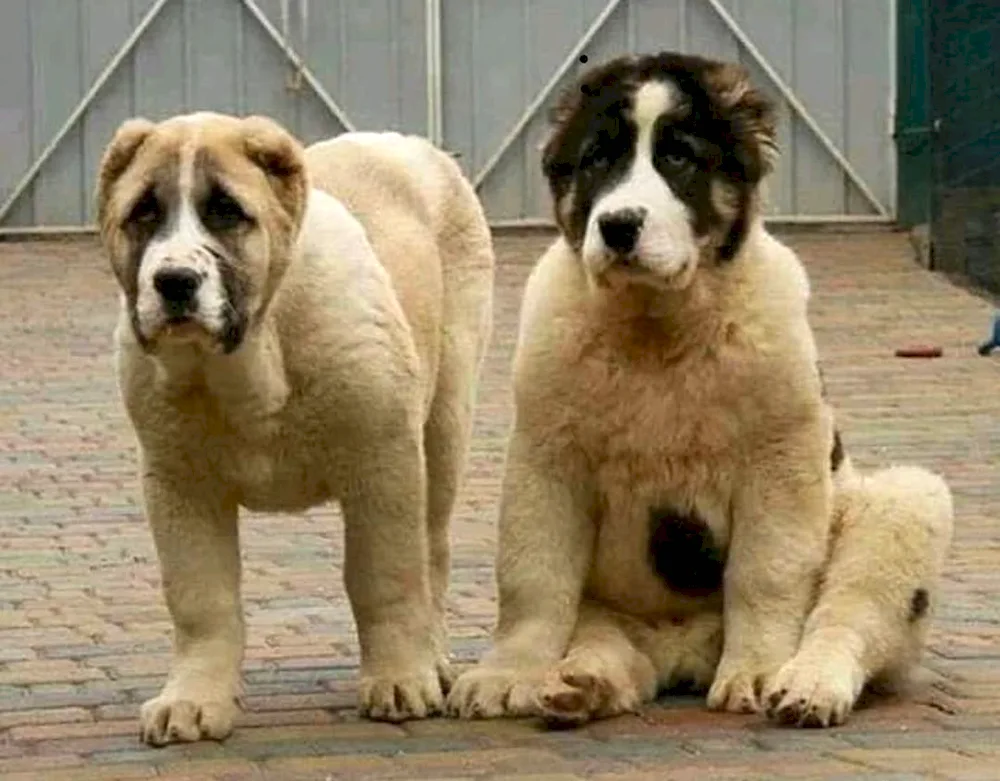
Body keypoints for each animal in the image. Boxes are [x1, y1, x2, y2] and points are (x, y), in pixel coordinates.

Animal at [95, 114, 494, 744]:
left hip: (445, 425)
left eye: (226, 211)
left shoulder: (385, 463)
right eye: (142, 212)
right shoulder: (179, 485)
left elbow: (386, 577)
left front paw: (399, 678)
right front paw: (194, 699)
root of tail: (407, 142)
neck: (248, 357)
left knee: (431, 553)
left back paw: (431, 660)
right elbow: (200, 598)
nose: (175, 281)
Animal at [448, 53, 952, 724]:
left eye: (679, 158)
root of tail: (683, 649)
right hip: (608, 616)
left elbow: (765, 574)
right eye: (597, 159)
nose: (618, 226)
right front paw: (509, 672)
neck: (657, 332)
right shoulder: (546, 461)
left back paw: (805, 686)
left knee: (847, 616)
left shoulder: (780, 463)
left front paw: (758, 670)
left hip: (905, 504)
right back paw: (583, 682)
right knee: (610, 646)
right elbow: (532, 577)